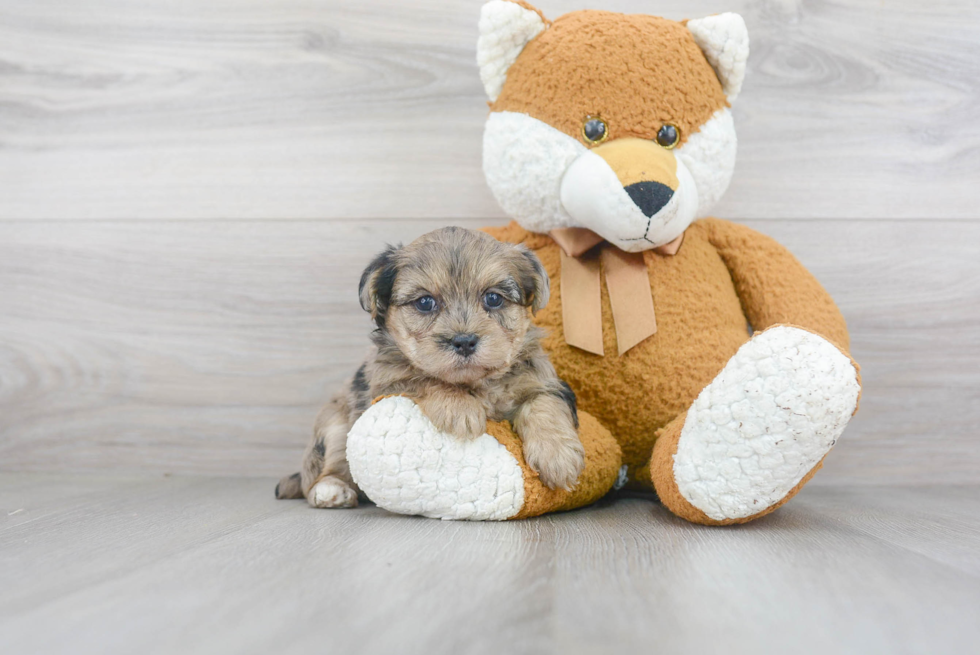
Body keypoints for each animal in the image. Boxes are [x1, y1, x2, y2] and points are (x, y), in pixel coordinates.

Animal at [274, 228, 580, 510]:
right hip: (335, 422)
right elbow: (422, 377)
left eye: (493, 299)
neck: (475, 383)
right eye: (424, 302)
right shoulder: (386, 380)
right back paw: (331, 490)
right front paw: (460, 408)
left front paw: (558, 456)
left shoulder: (541, 380)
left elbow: (544, 404)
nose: (464, 341)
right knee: (329, 465)